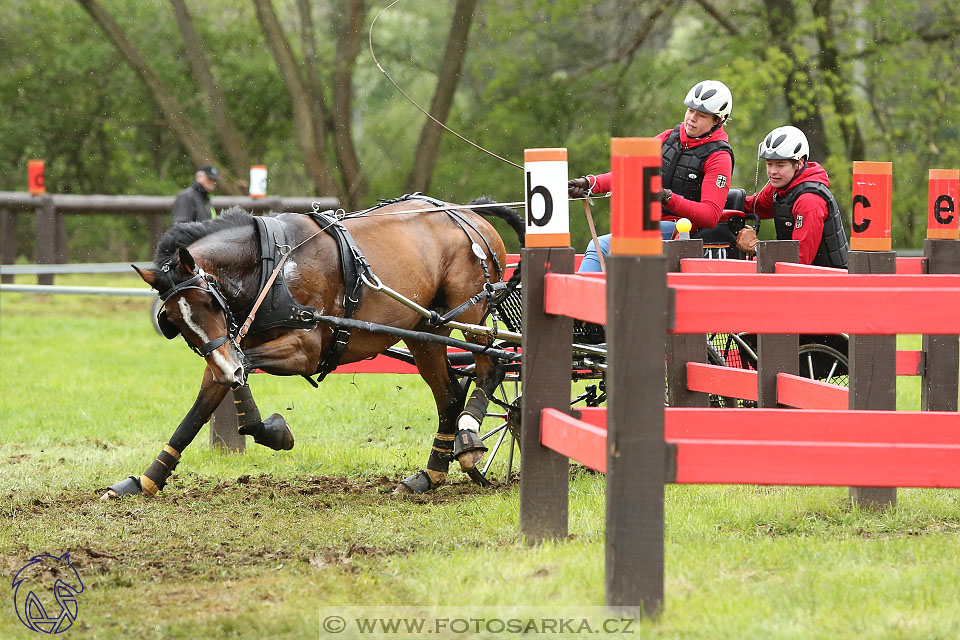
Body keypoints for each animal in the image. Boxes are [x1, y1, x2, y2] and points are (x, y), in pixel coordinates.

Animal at [103, 195, 524, 500]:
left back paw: (470, 438)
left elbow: (244, 376)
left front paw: (272, 430)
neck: (269, 265)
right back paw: (430, 474)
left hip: (471, 311)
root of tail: (469, 214)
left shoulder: (305, 347)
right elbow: (198, 412)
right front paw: (146, 480)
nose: (226, 367)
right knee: (449, 395)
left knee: (491, 368)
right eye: (173, 321)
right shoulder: (225, 348)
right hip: (424, 328)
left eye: (209, 302)